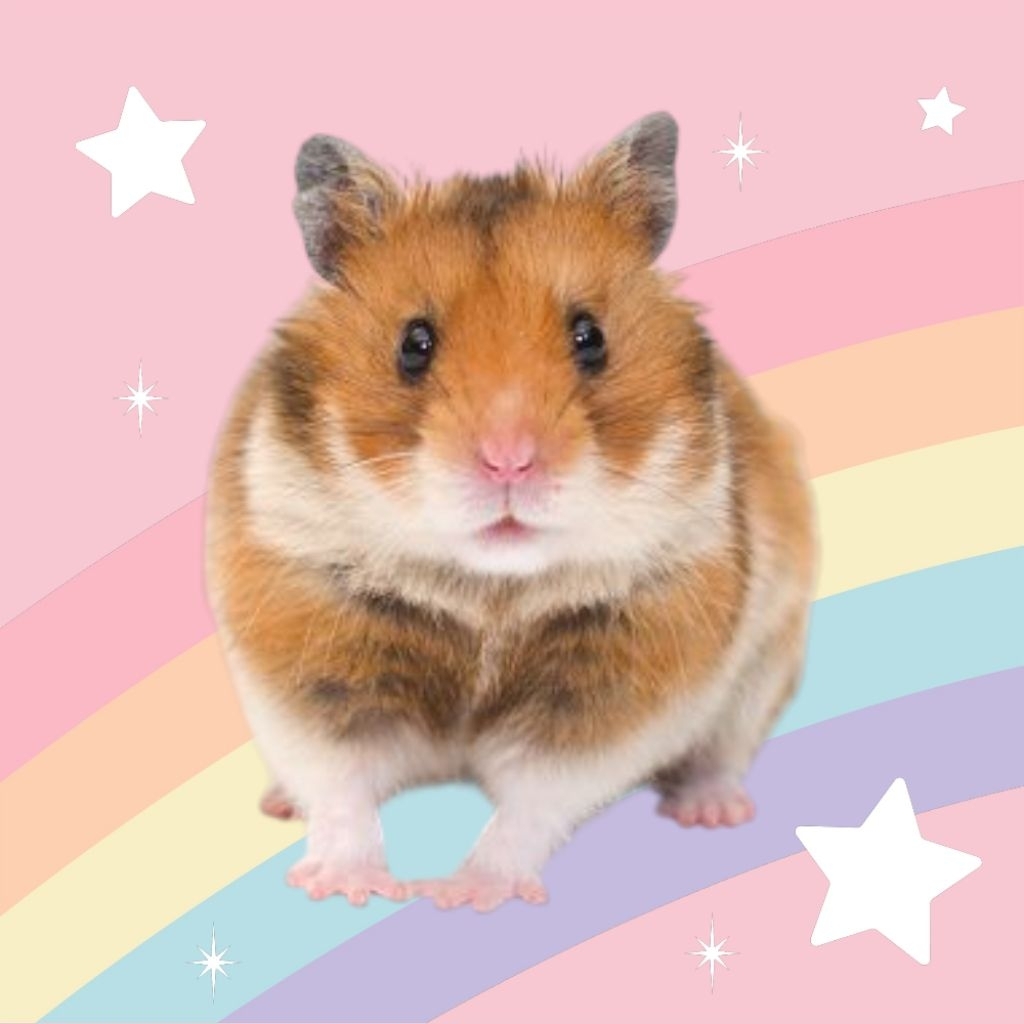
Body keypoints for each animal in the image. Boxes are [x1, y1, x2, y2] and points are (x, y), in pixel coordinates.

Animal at [203, 111, 817, 912]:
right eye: (414, 343)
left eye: (590, 337)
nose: (509, 462)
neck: (486, 591)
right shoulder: (305, 654)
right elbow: (339, 788)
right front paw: (345, 890)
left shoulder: (616, 685)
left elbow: (534, 802)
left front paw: (464, 894)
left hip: (767, 658)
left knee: (724, 748)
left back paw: (710, 811)